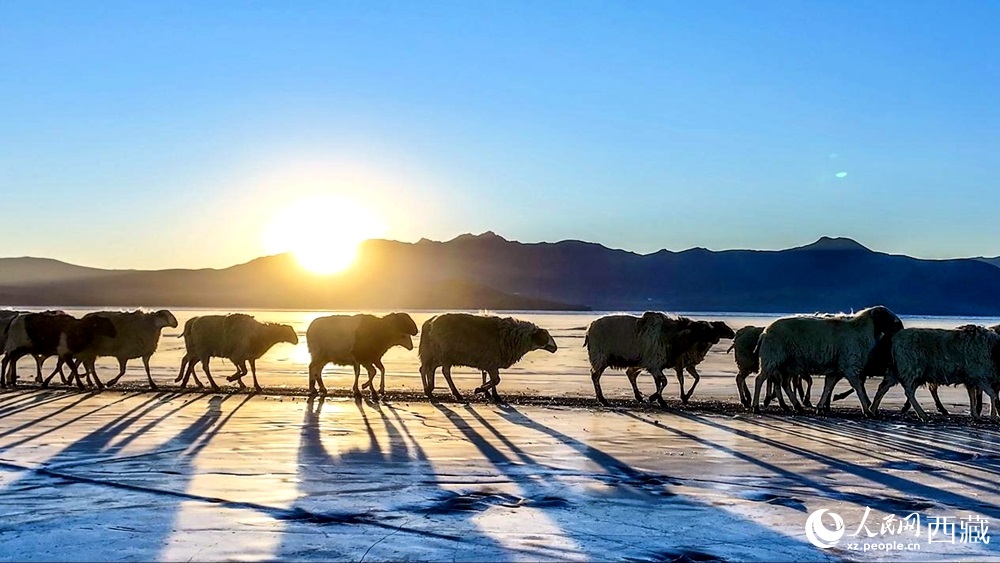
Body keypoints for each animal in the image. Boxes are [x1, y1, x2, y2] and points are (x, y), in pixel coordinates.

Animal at [418, 316, 560, 404]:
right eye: (545, 336)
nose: (555, 348)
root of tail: (430, 322)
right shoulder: (491, 361)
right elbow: (496, 379)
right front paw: (480, 389)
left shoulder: (491, 362)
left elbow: (493, 378)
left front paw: (493, 395)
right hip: (444, 354)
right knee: (443, 371)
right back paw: (455, 394)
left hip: (435, 353)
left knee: (426, 368)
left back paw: (429, 389)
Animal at [584, 312, 720, 410]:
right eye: (703, 329)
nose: (717, 338)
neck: (672, 336)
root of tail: (589, 328)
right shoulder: (653, 365)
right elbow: (664, 381)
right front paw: (654, 398)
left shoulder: (655, 366)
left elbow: (658, 382)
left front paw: (659, 400)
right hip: (600, 357)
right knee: (595, 376)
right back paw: (603, 399)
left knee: (627, 374)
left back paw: (637, 397)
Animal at [752, 306, 908, 416]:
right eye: (887, 316)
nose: (901, 328)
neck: (861, 331)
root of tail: (764, 332)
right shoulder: (849, 366)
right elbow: (858, 387)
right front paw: (867, 410)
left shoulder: (835, 370)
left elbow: (828, 387)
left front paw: (820, 407)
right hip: (772, 358)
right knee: (760, 379)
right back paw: (755, 407)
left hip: (789, 364)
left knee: (784, 383)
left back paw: (797, 406)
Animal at [868, 326, 1000, 424]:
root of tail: (895, 339)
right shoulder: (979, 376)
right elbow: (992, 395)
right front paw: (993, 416)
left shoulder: (971, 379)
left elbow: (972, 396)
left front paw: (976, 415)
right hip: (910, 369)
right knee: (908, 392)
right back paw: (923, 415)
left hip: (896, 370)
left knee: (883, 387)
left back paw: (872, 410)